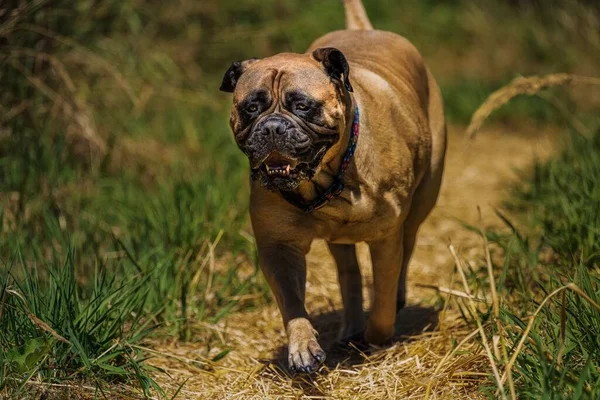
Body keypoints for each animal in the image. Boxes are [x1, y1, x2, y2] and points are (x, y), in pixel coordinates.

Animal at [220, 0, 446, 376]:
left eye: (302, 106)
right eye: (251, 107)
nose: (272, 127)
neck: (327, 181)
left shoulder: (386, 240)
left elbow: (383, 300)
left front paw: (378, 335)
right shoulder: (278, 247)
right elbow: (292, 302)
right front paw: (302, 345)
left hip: (421, 202)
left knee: (407, 249)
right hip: (340, 242)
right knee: (349, 275)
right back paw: (350, 327)